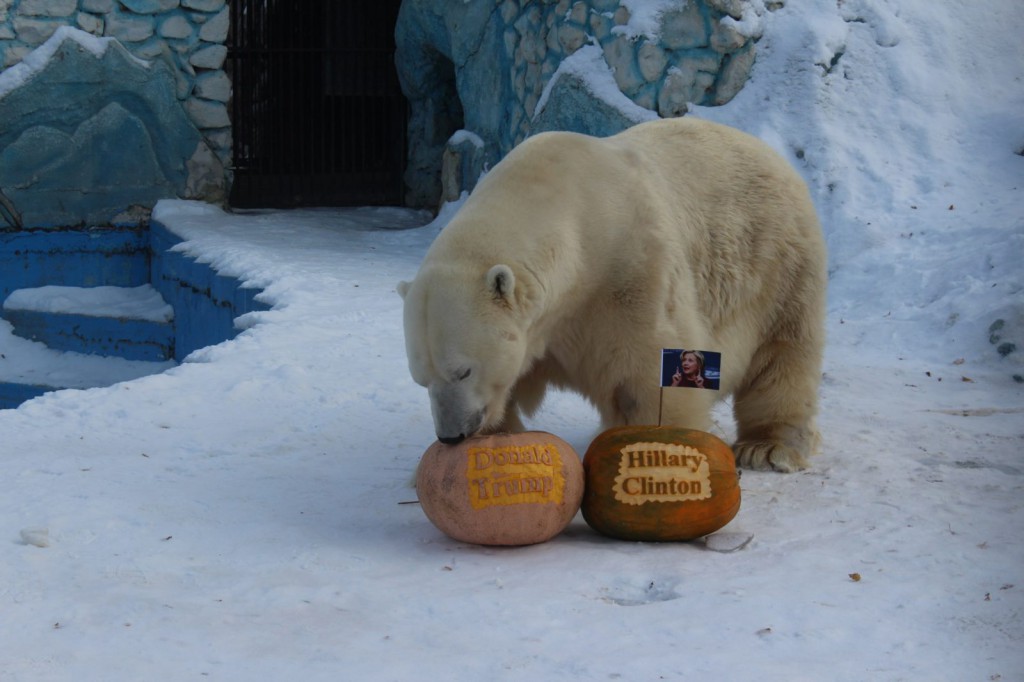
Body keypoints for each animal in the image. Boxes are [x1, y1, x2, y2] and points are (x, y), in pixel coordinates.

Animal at [395, 116, 827, 471]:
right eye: (420, 379)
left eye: (463, 370)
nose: (452, 434)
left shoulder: (628, 276)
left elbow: (648, 376)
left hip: (778, 261)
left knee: (783, 351)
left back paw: (767, 447)